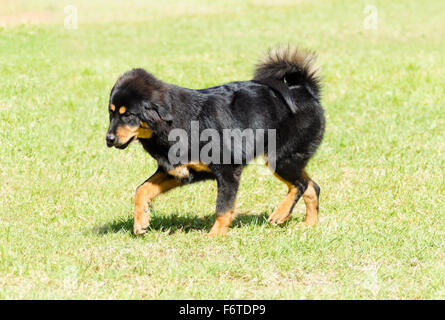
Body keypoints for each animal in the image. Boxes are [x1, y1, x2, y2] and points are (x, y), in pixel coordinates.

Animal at [106, 45, 324, 235]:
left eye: (128, 115)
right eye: (111, 113)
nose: (108, 138)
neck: (175, 123)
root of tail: (303, 89)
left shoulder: (228, 170)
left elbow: (223, 208)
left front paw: (214, 235)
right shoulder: (180, 172)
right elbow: (142, 189)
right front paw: (140, 222)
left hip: (280, 157)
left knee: (300, 185)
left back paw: (280, 214)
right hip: (287, 159)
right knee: (312, 186)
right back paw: (309, 224)